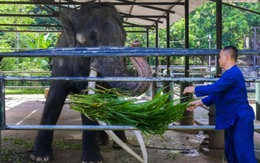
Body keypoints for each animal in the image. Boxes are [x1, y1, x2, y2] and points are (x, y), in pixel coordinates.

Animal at [29, 1, 152, 163]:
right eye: (92, 38)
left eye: (123, 37)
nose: (135, 43)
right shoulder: (60, 63)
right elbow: (53, 100)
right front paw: (39, 156)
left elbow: (90, 102)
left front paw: (92, 160)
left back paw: (117, 144)